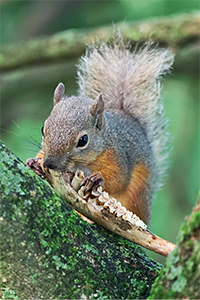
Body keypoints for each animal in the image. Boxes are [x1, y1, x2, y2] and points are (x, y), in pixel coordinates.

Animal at [29, 36, 173, 224]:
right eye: (43, 129)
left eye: (83, 140)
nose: (50, 164)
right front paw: (35, 161)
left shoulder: (117, 156)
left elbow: (119, 179)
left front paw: (97, 178)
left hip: (138, 195)